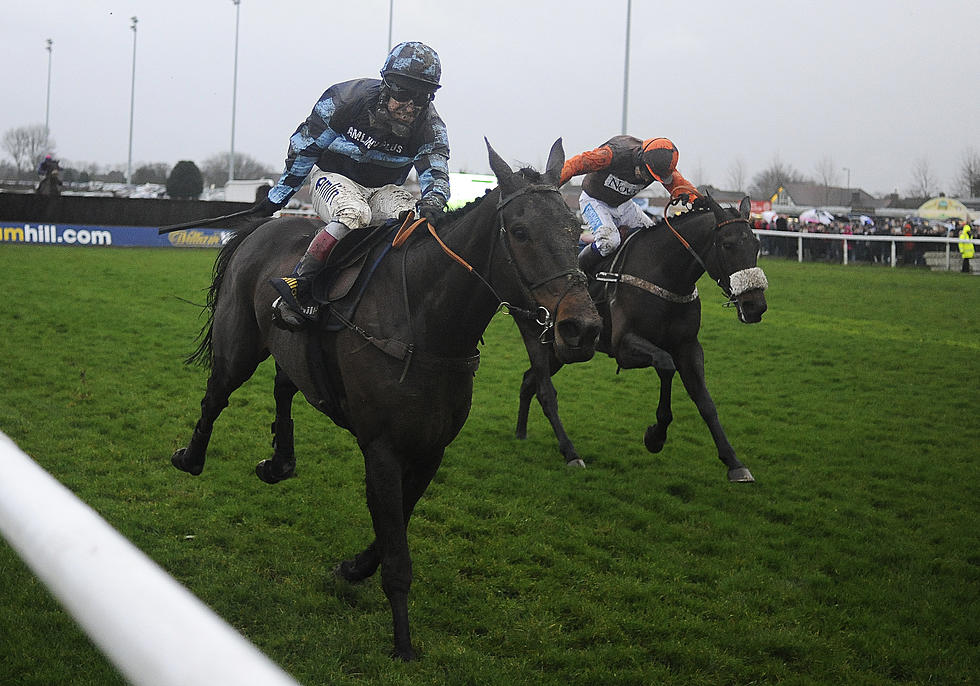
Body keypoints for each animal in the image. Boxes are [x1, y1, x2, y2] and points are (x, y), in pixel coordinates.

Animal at [168, 138, 596, 660]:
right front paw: (403, 644)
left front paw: (353, 568)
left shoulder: (431, 448)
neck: (425, 325)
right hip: (239, 345)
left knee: (285, 385)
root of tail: (263, 226)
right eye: (520, 231)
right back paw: (191, 457)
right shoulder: (383, 448)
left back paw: (280, 462)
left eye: (575, 228)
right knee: (216, 397)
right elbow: (396, 551)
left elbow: (395, 527)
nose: (582, 328)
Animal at [512, 196, 764, 482]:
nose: (756, 306)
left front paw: (734, 462)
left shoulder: (688, 347)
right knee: (539, 386)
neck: (664, 273)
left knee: (528, 380)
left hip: (562, 352)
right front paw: (655, 436)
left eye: (756, 245)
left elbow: (705, 401)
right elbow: (665, 365)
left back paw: (521, 433)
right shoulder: (625, 346)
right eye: (727, 244)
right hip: (550, 344)